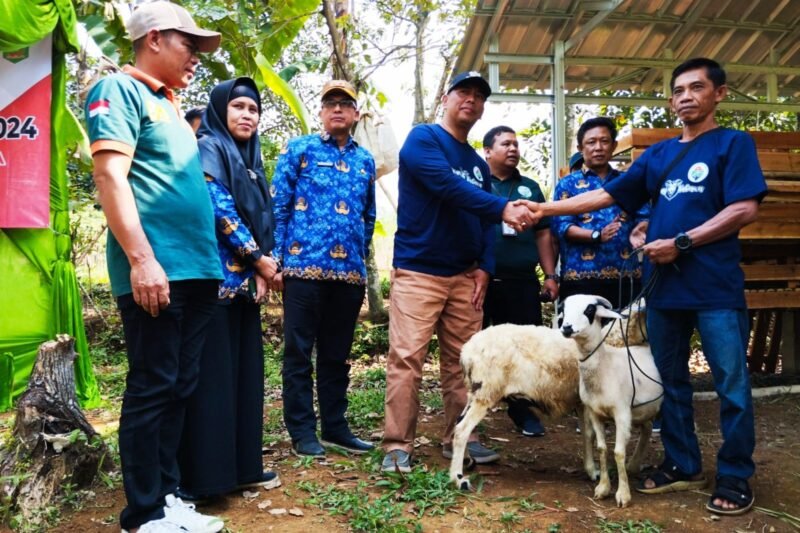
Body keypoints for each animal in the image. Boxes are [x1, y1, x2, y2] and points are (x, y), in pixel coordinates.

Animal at [556, 296, 664, 508]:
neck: (605, 366)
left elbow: (618, 452)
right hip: (643, 409)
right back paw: (634, 465)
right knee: (647, 429)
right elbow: (602, 448)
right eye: (564, 308)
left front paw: (623, 495)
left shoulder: (621, 413)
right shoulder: (594, 412)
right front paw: (603, 488)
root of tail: (646, 347)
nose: (566, 327)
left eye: (589, 309)